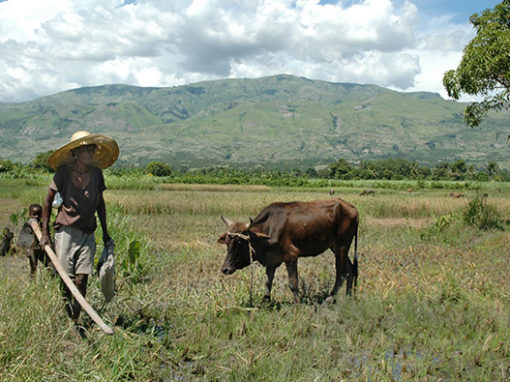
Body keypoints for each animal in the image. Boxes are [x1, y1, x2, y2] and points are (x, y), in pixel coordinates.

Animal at [218, 198, 358, 302]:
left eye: (239, 242)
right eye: (227, 242)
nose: (225, 269)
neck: (269, 229)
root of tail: (351, 207)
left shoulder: (292, 256)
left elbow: (293, 283)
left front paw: (297, 303)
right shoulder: (271, 260)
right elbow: (268, 282)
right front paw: (265, 301)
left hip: (341, 246)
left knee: (341, 273)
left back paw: (330, 298)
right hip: (337, 247)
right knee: (350, 269)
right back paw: (348, 297)